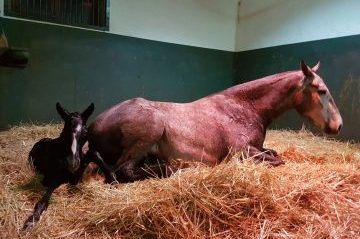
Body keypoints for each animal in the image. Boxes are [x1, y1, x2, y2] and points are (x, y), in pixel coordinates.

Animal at [85, 60, 344, 182]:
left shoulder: (258, 147)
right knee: (125, 171)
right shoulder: (242, 152)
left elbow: (275, 154)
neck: (244, 108)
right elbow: (277, 161)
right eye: (321, 91)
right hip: (149, 132)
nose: (338, 125)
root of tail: (92, 128)